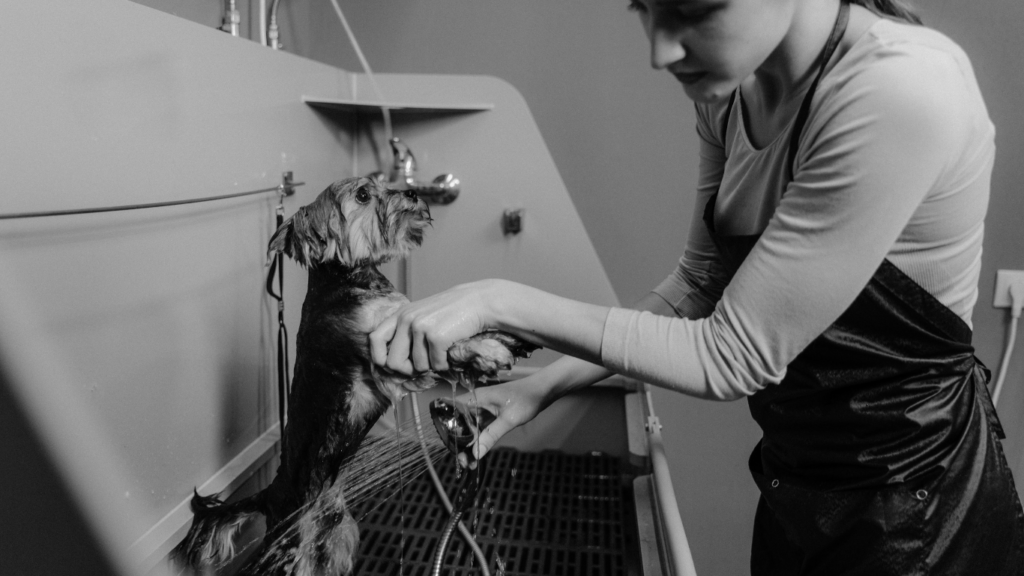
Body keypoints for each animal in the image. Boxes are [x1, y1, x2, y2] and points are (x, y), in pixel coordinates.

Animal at [171, 176, 532, 573]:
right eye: (362, 194)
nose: (411, 192)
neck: (352, 279)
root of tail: (271, 495)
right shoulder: (386, 359)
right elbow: (446, 349)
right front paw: (486, 351)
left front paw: (502, 337)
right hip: (291, 551)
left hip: (337, 540)